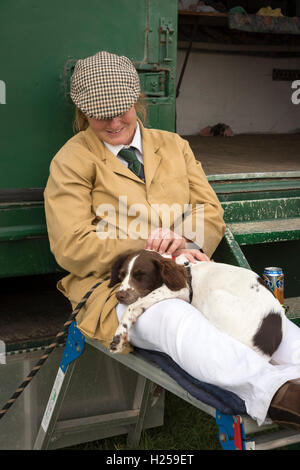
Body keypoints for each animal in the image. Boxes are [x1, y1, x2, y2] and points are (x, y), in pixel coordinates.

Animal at [108, 250, 286, 356]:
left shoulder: (177, 290)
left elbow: (132, 307)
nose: (119, 295)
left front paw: (118, 337)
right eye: (121, 275)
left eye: (141, 275)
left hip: (216, 297)